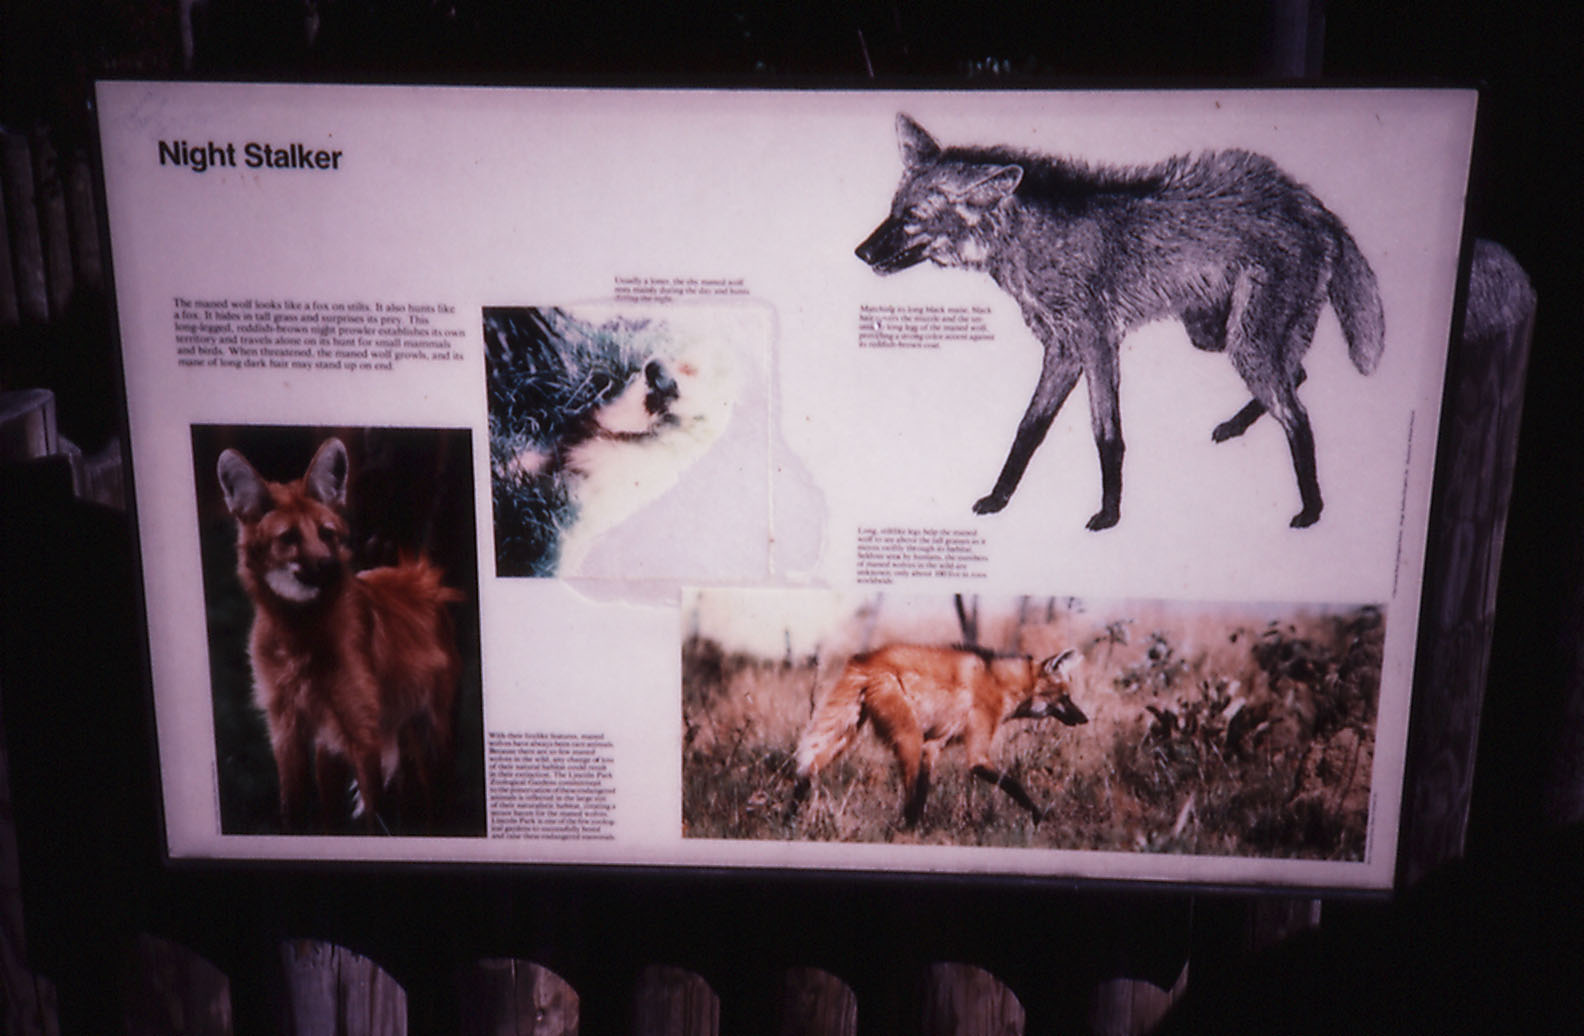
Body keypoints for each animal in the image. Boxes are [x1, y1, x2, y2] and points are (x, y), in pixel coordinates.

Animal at [217, 436, 462, 832]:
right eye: (289, 538)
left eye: (326, 533)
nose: (330, 567)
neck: (299, 635)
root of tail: (418, 574)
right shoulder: (287, 731)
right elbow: (294, 814)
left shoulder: (363, 734)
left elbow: (374, 821)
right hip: (333, 745)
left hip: (429, 732)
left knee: (434, 800)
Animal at [790, 644, 1087, 827]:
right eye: (1066, 697)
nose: (1085, 718)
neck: (1002, 684)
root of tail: (862, 660)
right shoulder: (976, 755)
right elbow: (1014, 784)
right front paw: (1040, 816)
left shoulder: (933, 745)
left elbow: (923, 794)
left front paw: (919, 830)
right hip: (908, 737)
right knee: (906, 793)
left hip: (846, 733)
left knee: (807, 768)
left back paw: (789, 819)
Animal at [856, 114, 1385, 529]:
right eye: (892, 211)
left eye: (912, 217)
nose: (860, 252)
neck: (1035, 245)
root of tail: (1311, 204)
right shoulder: (1064, 348)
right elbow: (1028, 430)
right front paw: (999, 499)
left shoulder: (1095, 340)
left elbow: (1107, 436)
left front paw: (1109, 516)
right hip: (1216, 334)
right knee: (1297, 374)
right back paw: (1236, 429)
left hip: (1243, 342)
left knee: (1297, 414)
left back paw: (1311, 511)